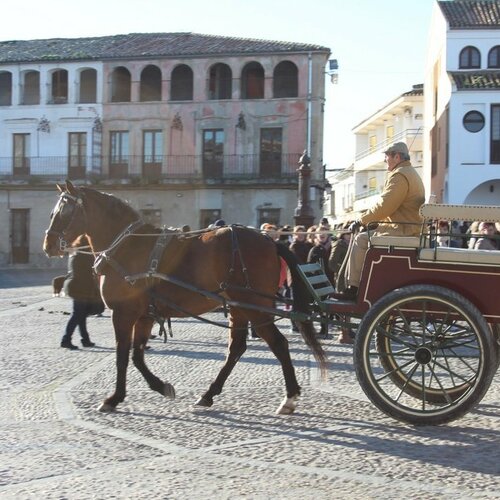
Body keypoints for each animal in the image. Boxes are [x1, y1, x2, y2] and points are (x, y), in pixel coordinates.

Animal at [43, 180, 328, 414]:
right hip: (239, 307)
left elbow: (122, 355)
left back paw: (289, 397)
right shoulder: (144, 315)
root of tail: (269, 240)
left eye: (63, 211)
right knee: (236, 348)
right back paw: (208, 394)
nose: (47, 245)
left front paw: (114, 398)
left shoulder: (124, 313)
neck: (128, 245)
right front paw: (161, 386)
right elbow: (137, 355)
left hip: (256, 307)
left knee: (278, 344)